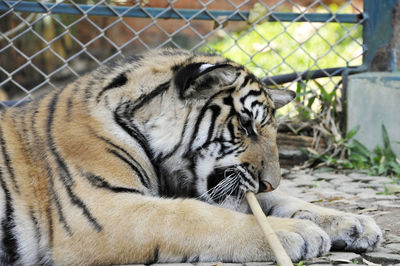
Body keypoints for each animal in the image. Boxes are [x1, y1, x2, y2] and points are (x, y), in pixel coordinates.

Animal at [0, 49, 382, 264]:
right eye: (246, 125)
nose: (271, 181)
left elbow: (279, 201)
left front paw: (354, 224)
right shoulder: (100, 210)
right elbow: (194, 217)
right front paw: (297, 233)